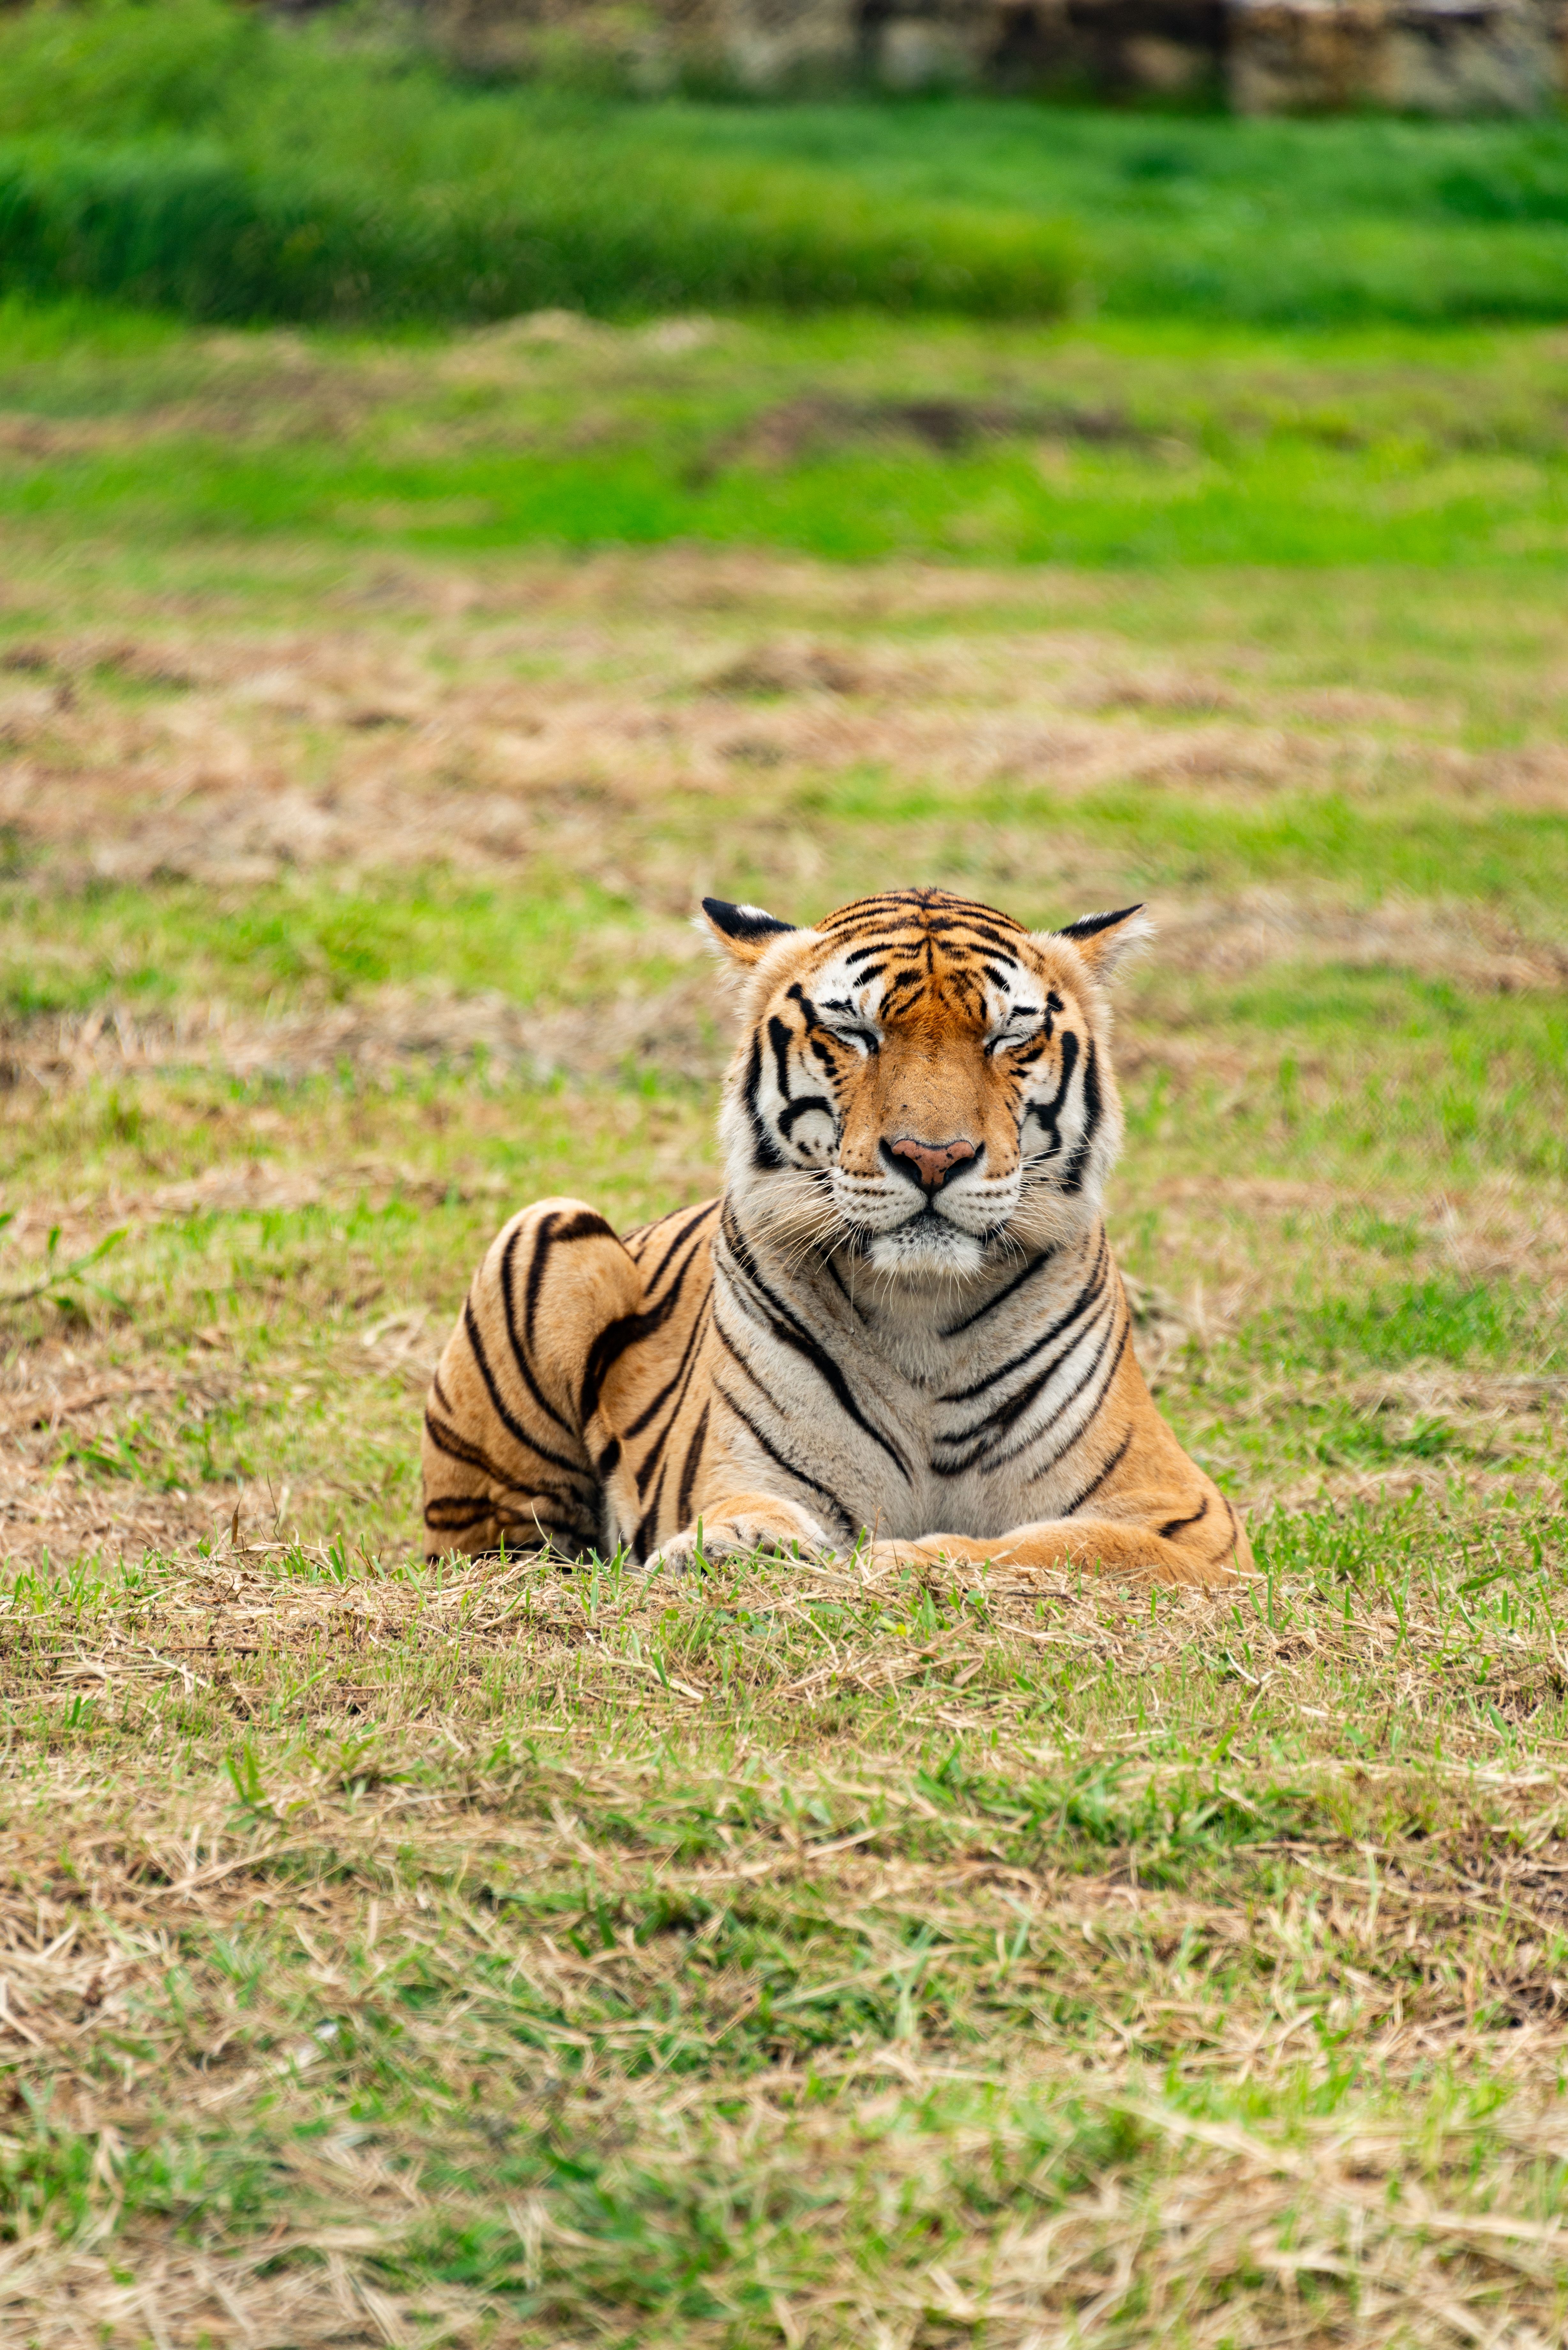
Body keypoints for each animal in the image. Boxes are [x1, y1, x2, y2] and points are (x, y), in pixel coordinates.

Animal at [421, 888, 1250, 1588]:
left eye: (1006, 1035)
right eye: (855, 1032)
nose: (932, 1156)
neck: (922, 1313)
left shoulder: (1195, 1526)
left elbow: (1074, 1543)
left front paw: (905, 1556)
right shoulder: (744, 1469)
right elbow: (742, 1508)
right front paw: (734, 1546)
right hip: (545, 1229)